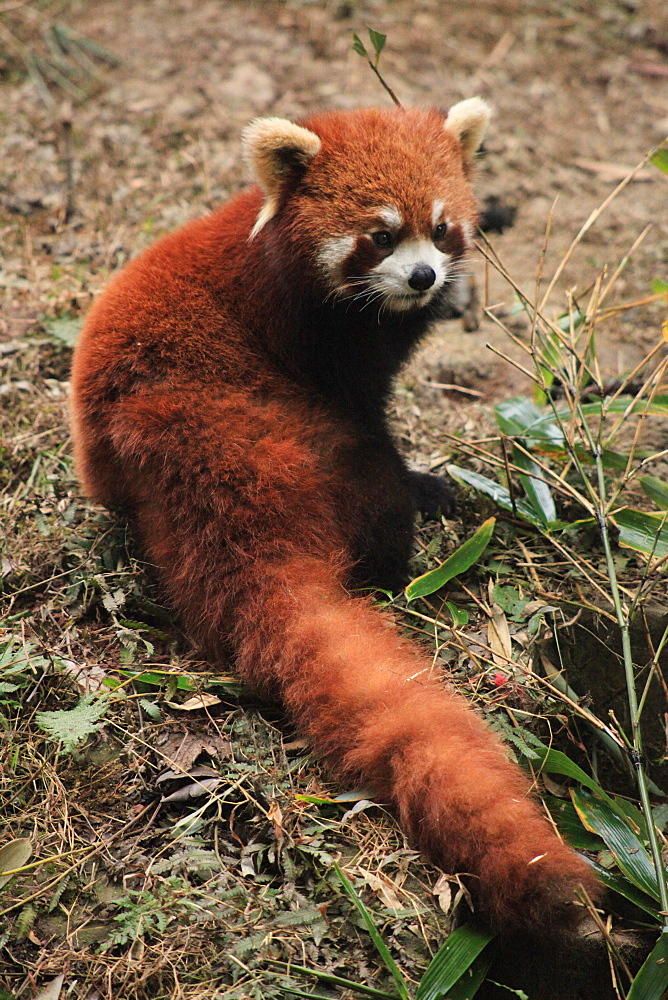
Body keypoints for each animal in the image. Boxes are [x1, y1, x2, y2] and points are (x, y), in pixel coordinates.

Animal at [70, 101, 596, 928]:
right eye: (380, 234)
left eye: (441, 228)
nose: (424, 276)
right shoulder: (318, 344)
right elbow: (369, 412)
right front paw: (427, 482)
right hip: (296, 440)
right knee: (371, 492)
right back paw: (398, 552)